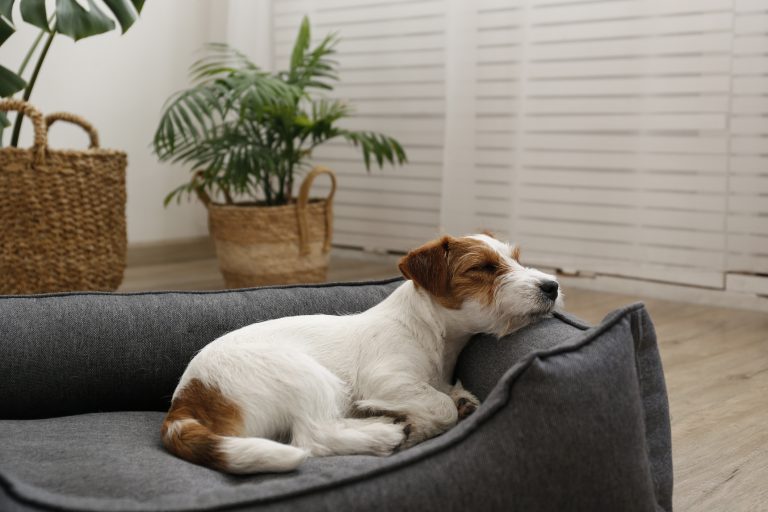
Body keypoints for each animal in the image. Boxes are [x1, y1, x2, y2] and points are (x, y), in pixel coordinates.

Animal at [160, 234, 564, 474]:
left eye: (515, 259)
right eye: (483, 268)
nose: (553, 286)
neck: (428, 330)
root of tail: (187, 397)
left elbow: (451, 396)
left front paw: (452, 401)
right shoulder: (385, 377)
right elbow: (441, 407)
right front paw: (421, 423)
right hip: (308, 376)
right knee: (313, 436)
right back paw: (385, 433)